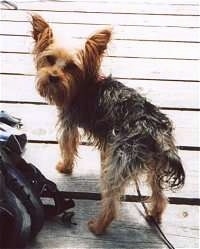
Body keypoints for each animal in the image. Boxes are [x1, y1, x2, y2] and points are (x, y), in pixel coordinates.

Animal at [30, 15, 185, 235]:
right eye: (50, 59)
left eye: (71, 67)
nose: (52, 76)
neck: (81, 85)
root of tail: (155, 131)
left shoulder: (69, 124)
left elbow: (67, 147)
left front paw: (64, 167)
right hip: (154, 165)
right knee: (159, 195)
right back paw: (154, 213)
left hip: (121, 162)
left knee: (111, 203)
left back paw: (97, 226)